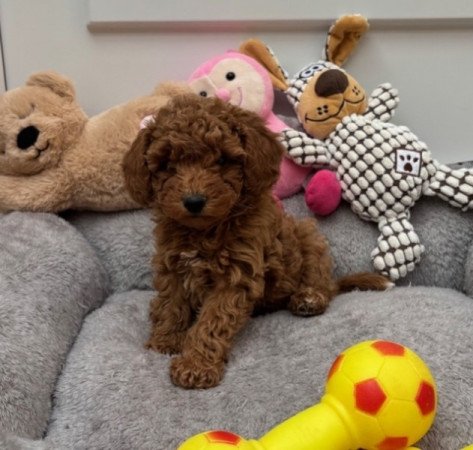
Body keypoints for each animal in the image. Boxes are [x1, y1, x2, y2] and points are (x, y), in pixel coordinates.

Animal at [123, 93, 392, 389]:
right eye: (167, 165)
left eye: (222, 159)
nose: (193, 201)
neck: (204, 231)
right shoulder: (172, 265)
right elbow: (171, 303)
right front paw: (165, 340)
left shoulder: (236, 274)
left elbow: (212, 320)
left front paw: (196, 365)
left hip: (309, 238)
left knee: (321, 282)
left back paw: (309, 298)